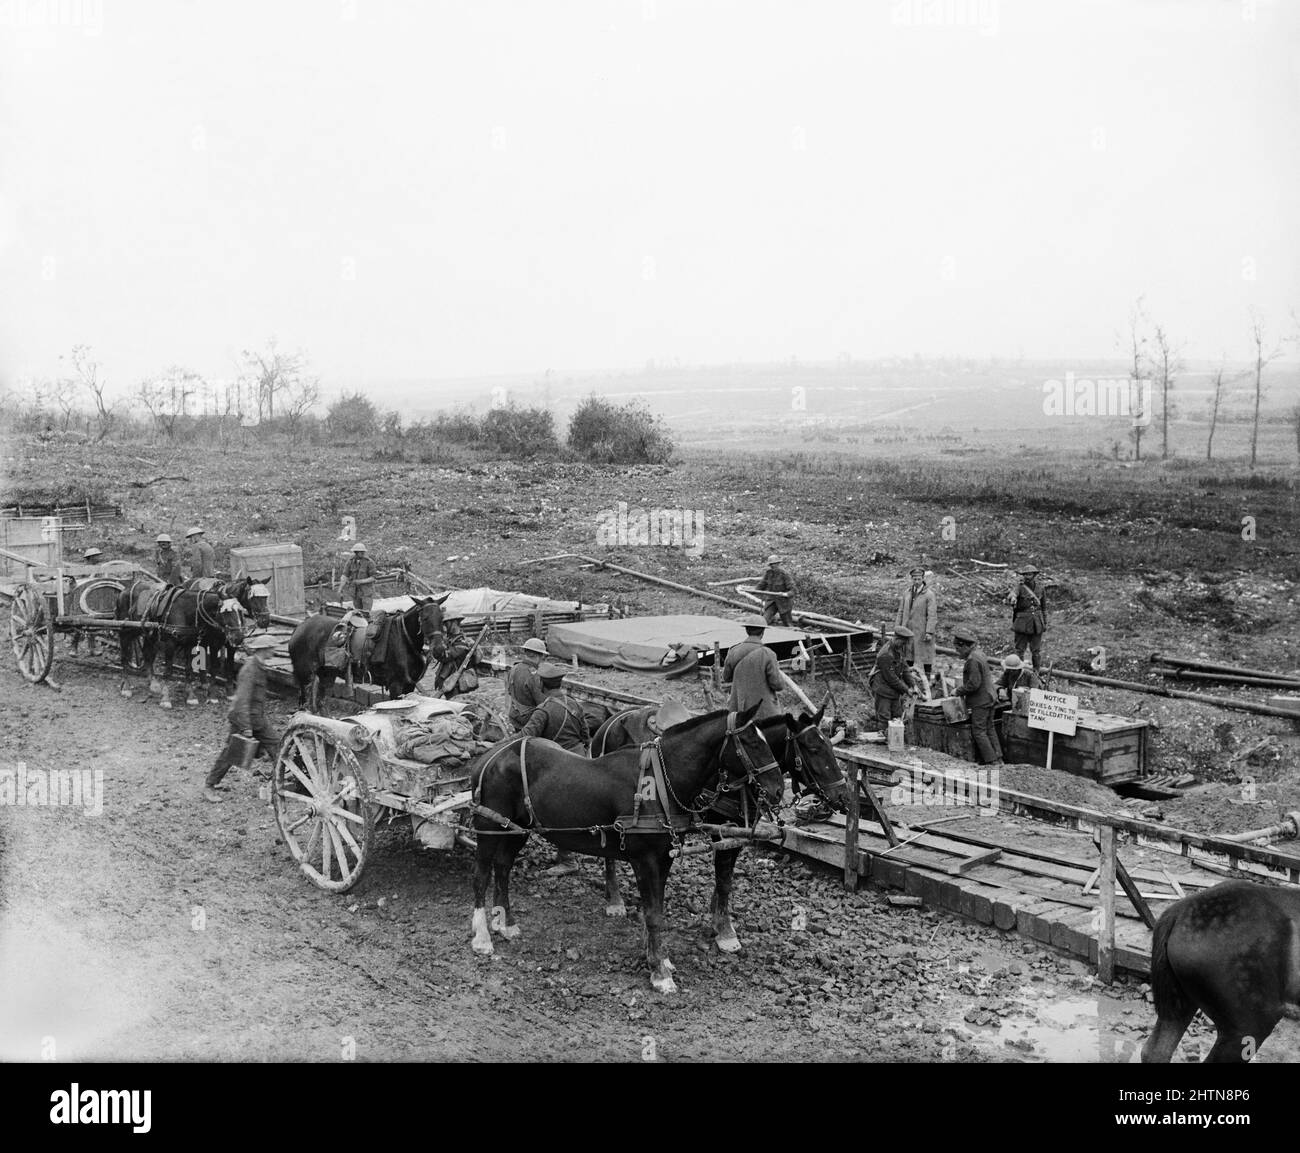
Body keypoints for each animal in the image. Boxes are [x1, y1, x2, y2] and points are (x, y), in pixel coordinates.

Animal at [115, 574, 246, 701]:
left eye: (240, 611)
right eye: (227, 611)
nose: (239, 637)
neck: (185, 610)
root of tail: (123, 591)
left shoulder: (190, 643)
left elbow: (188, 668)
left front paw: (191, 695)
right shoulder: (170, 643)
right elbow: (168, 671)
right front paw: (166, 698)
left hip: (149, 634)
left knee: (147, 654)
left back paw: (153, 683)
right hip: (127, 631)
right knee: (124, 656)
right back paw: (126, 687)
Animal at [287, 595, 444, 712]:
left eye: (442, 618)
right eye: (425, 618)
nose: (439, 649)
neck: (403, 638)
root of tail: (299, 628)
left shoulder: (409, 686)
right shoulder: (396, 685)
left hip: (323, 675)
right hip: (305, 675)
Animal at [473, 701, 785, 993]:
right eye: (752, 742)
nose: (778, 789)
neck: (661, 784)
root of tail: (491, 756)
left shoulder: (664, 858)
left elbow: (655, 908)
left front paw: (658, 957)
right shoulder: (644, 859)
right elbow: (653, 914)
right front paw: (660, 972)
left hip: (516, 828)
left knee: (503, 867)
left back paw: (505, 922)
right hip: (488, 827)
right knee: (482, 875)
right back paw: (482, 937)